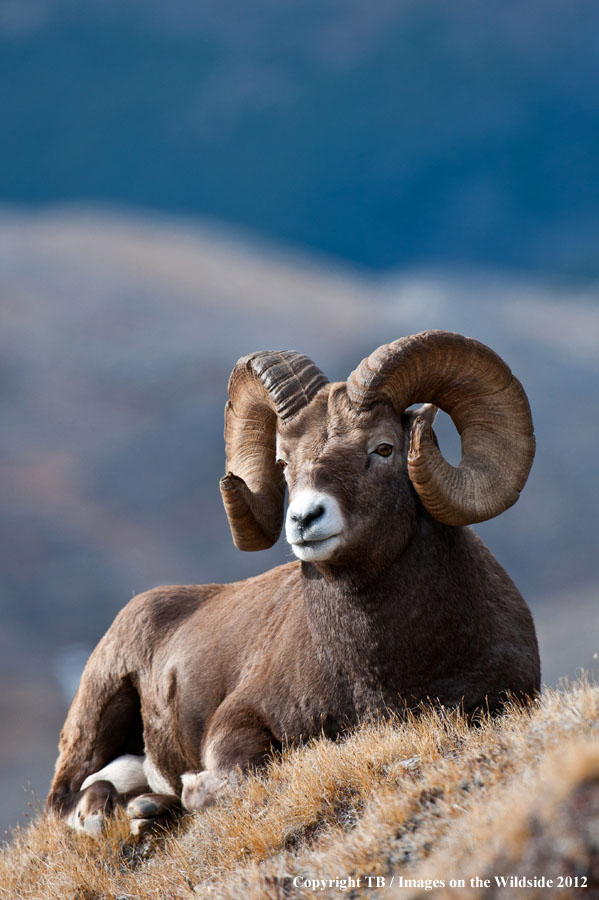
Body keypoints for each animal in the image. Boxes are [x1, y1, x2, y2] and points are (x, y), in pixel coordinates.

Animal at [46, 330, 540, 835]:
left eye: (384, 448)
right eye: (284, 463)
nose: (304, 519)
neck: (376, 672)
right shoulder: (234, 724)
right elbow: (237, 775)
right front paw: (187, 790)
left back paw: (148, 807)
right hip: (98, 710)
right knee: (66, 797)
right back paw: (110, 813)